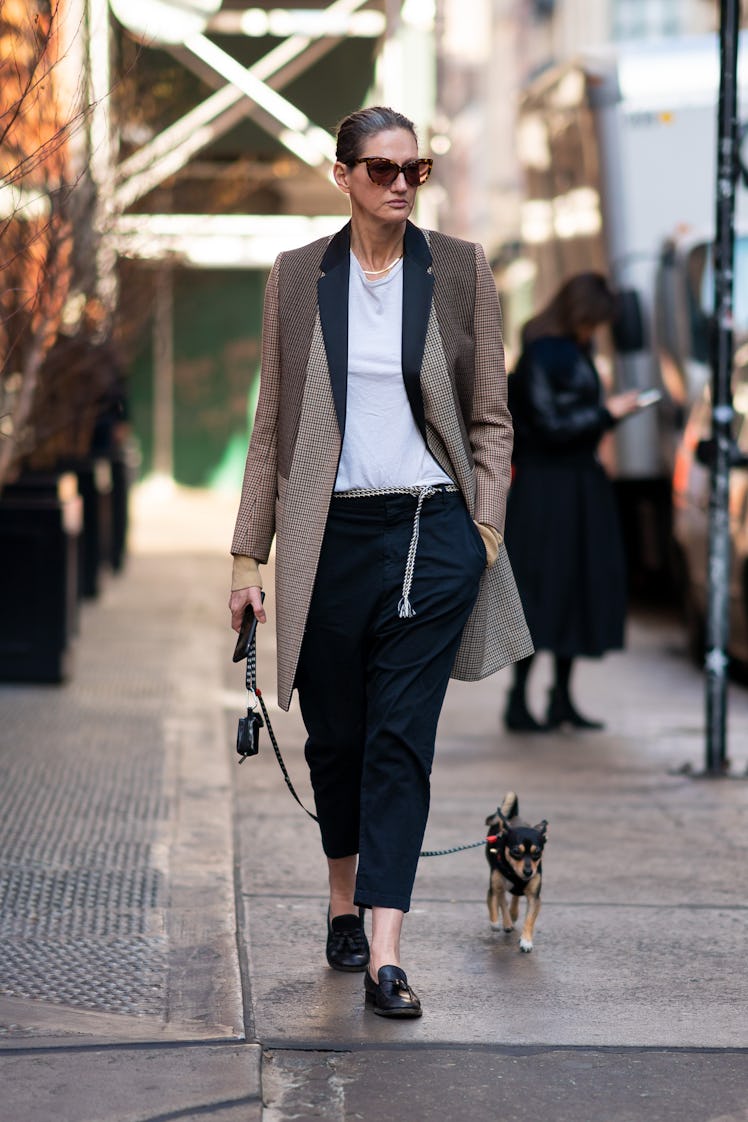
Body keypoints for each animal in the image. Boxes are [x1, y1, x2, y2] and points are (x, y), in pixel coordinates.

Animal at [488, 794, 547, 951]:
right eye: (516, 851)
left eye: (537, 853)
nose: (528, 872)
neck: (516, 875)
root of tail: (513, 815)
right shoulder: (494, 888)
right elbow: (494, 904)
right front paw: (496, 922)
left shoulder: (534, 897)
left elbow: (529, 920)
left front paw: (526, 940)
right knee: (503, 898)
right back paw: (507, 922)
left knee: (514, 897)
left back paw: (513, 914)